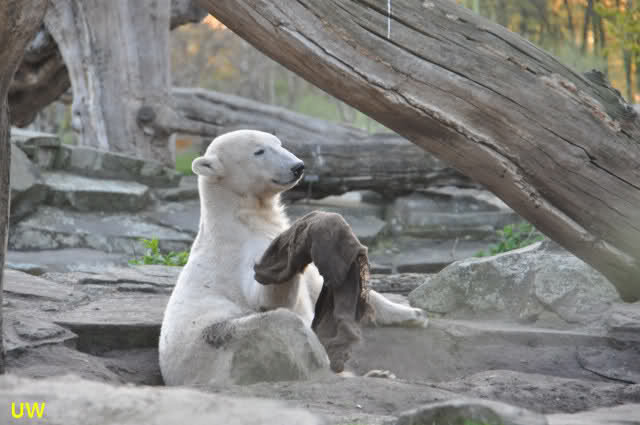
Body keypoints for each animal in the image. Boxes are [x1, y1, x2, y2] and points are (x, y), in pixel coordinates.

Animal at [159, 129, 427, 388]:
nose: (298, 166)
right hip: (224, 342)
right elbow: (266, 297)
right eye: (259, 151)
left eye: (279, 143)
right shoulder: (240, 251)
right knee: (284, 328)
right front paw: (293, 250)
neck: (244, 217)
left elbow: (315, 285)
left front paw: (414, 313)